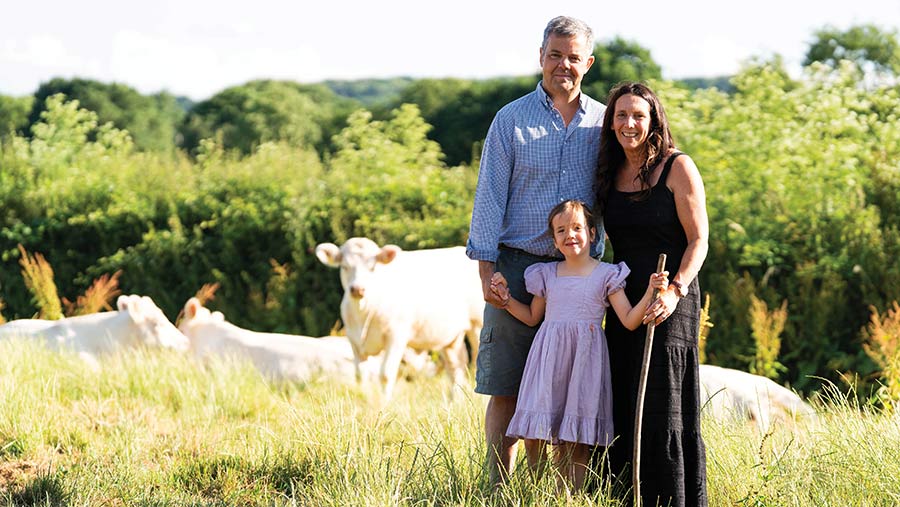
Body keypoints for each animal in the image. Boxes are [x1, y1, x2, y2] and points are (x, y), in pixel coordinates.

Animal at [316, 238, 486, 400]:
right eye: (344, 266)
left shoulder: (395, 336)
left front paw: (385, 403)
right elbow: (360, 376)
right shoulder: (355, 342)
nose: (358, 289)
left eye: (373, 268)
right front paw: (365, 400)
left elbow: (386, 374)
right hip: (450, 337)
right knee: (456, 366)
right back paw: (454, 401)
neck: (363, 312)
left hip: (477, 325)